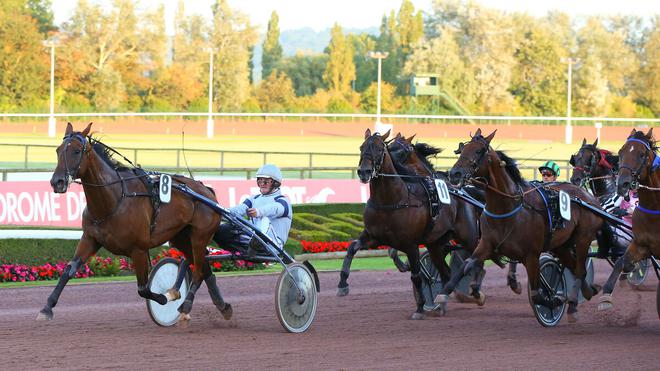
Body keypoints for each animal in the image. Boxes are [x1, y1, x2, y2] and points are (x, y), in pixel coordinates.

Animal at [40, 122, 232, 326]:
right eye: (58, 150)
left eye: (76, 151)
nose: (57, 182)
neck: (113, 200)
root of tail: (207, 190)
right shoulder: (90, 239)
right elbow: (68, 271)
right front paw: (47, 307)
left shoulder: (138, 250)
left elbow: (143, 289)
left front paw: (167, 296)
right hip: (181, 238)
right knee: (205, 270)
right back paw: (223, 307)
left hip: (199, 237)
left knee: (198, 272)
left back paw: (185, 306)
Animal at [444, 129, 604, 322]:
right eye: (462, 149)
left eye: (478, 151)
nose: (454, 174)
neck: (508, 207)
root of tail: (589, 198)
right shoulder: (486, 244)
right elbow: (467, 265)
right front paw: (445, 293)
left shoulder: (532, 255)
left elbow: (537, 294)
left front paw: (554, 300)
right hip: (561, 244)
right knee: (574, 266)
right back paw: (588, 291)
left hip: (583, 238)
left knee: (580, 268)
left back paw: (572, 305)